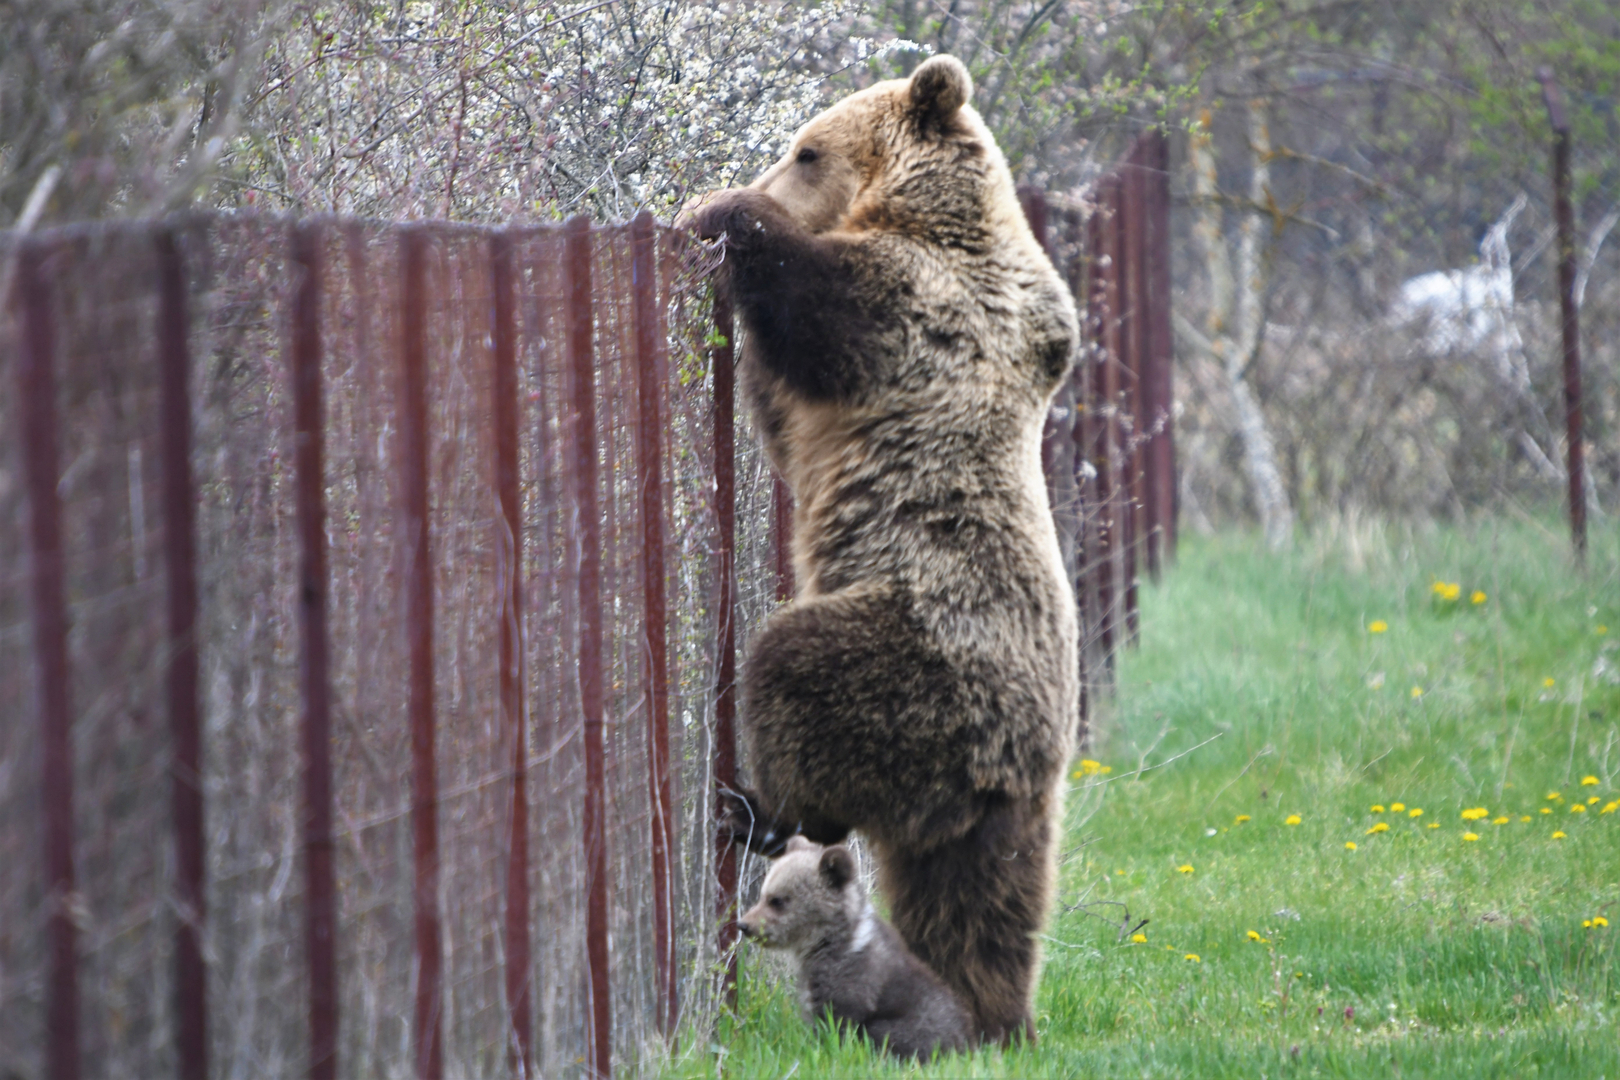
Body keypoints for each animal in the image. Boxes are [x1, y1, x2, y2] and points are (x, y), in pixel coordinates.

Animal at [680, 55, 1075, 1042]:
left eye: (806, 149)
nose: (776, 163)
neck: (934, 216)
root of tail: (1004, 765)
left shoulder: (926, 313)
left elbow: (819, 303)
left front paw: (716, 206)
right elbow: (779, 407)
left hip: (919, 651)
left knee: (796, 668)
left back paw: (761, 808)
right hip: (991, 807)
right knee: (982, 901)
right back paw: (994, 1013)